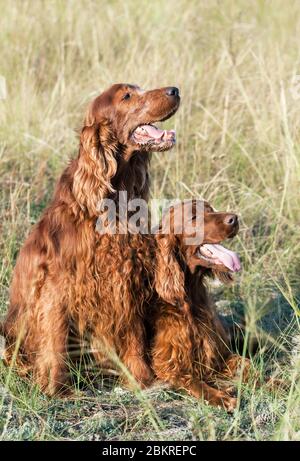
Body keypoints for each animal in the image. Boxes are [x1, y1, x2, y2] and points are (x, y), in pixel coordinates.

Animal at [1, 82, 178, 392]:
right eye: (127, 96)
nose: (175, 90)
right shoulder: (57, 287)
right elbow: (55, 339)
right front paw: (56, 388)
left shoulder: (125, 277)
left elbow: (133, 335)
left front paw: (142, 379)